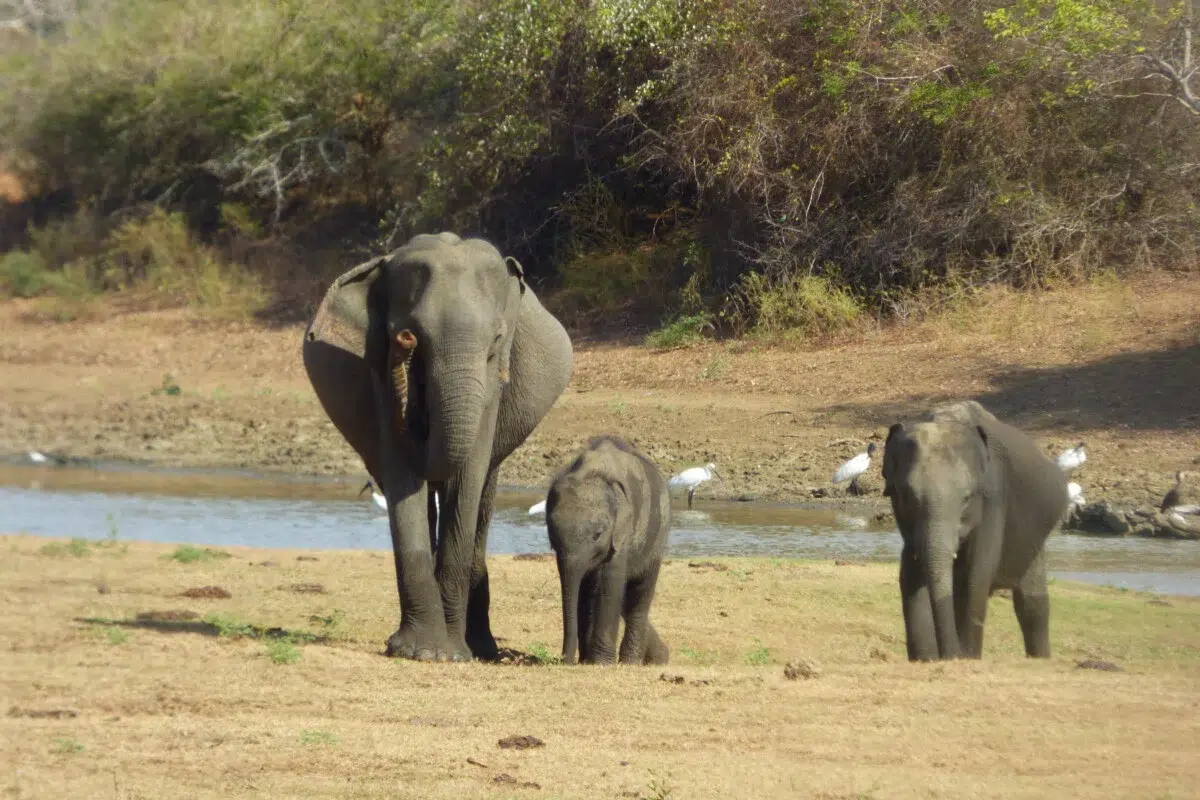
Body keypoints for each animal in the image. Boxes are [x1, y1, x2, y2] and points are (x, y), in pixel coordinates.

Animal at [302, 232, 573, 662]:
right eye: (409, 334)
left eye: (496, 341)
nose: (405, 343)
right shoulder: (378, 372)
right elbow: (401, 473)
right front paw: (424, 652)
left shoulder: (493, 385)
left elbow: (468, 475)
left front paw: (451, 654)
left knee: (483, 496)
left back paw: (482, 648)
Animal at [545, 434, 671, 666]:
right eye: (552, 534)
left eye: (598, 534)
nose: (565, 661)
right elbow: (584, 592)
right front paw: (588, 661)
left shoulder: (622, 533)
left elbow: (608, 585)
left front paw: (601, 663)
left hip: (658, 536)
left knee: (639, 596)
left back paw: (632, 662)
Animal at [881, 400, 1069, 661]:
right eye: (905, 495)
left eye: (967, 498)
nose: (949, 656)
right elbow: (909, 575)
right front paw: (925, 659)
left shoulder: (994, 500)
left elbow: (976, 576)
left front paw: (968, 657)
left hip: (1035, 540)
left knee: (1032, 604)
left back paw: (1040, 658)